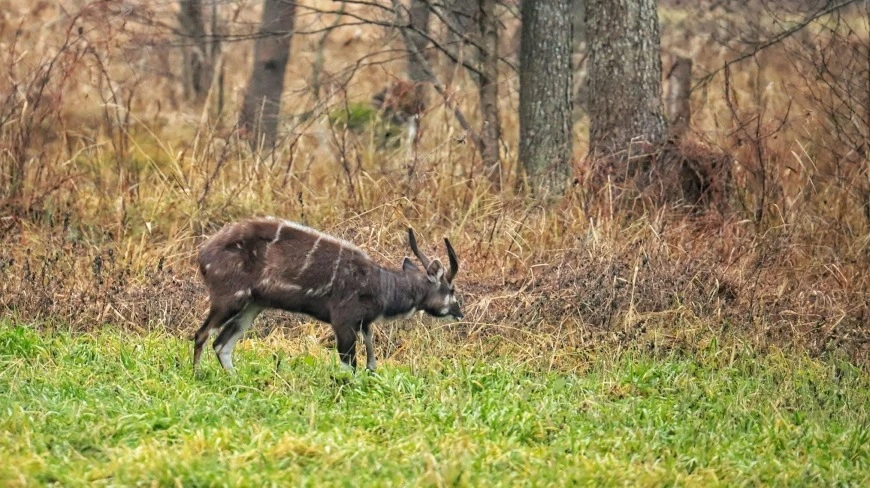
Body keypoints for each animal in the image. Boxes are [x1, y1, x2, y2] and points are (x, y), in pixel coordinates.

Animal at [192, 217, 464, 374]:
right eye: (451, 290)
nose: (459, 313)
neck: (381, 285)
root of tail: (203, 253)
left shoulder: (364, 324)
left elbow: (371, 362)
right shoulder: (344, 321)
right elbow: (350, 365)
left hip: (252, 306)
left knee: (221, 345)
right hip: (230, 299)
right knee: (202, 335)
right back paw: (197, 376)